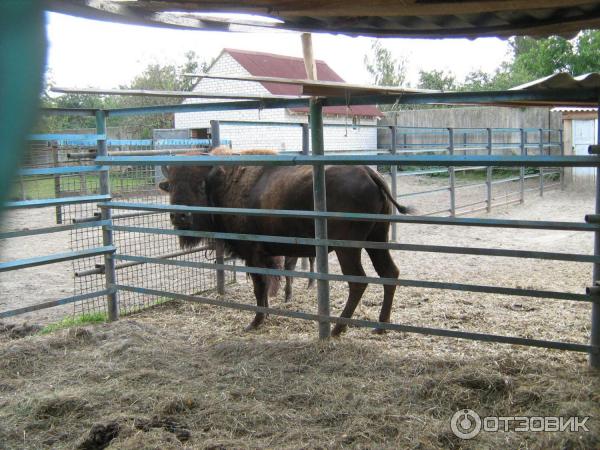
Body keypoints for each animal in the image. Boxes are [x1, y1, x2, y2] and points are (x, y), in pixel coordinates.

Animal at [158, 146, 412, 336]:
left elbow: (260, 287)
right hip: (376, 239)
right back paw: (380, 327)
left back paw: (337, 329)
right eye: (171, 185)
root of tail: (370, 173)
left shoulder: (253, 254)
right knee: (389, 273)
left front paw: (256, 321)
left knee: (358, 281)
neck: (224, 181)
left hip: (348, 247)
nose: (180, 216)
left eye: (200, 184)